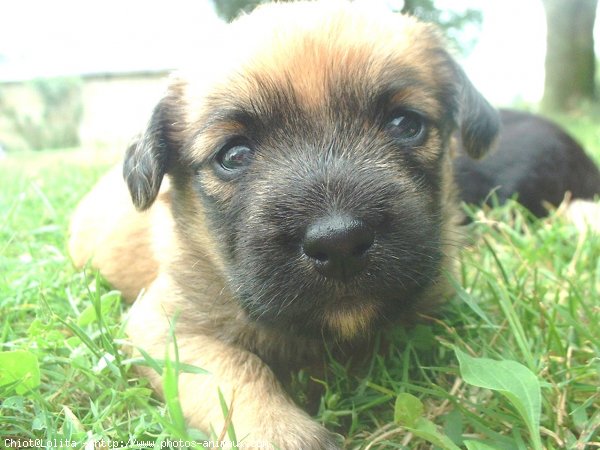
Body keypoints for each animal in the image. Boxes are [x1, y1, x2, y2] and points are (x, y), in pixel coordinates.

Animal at [68, 1, 500, 448]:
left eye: (406, 125)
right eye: (233, 154)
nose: (339, 243)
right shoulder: (163, 326)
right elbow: (232, 369)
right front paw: (278, 430)